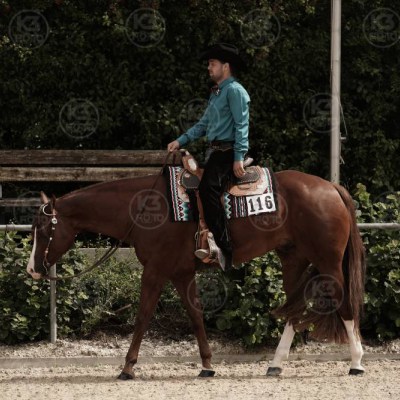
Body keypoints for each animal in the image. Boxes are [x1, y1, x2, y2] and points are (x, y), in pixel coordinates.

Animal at [26, 165, 366, 379]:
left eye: (43, 229)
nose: (32, 270)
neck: (144, 207)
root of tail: (331, 187)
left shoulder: (155, 271)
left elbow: (143, 316)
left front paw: (127, 367)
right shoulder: (180, 273)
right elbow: (196, 316)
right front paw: (207, 365)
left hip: (327, 262)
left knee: (344, 304)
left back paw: (357, 363)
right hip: (292, 259)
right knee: (294, 313)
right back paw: (275, 364)